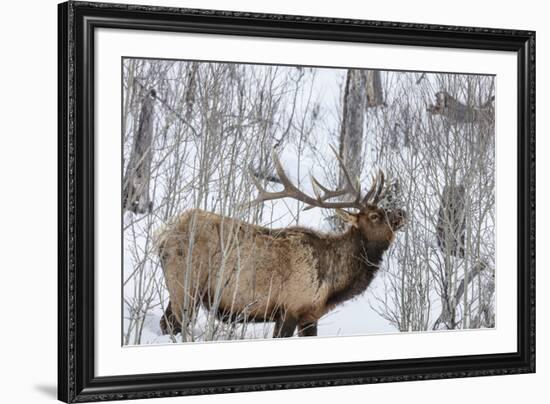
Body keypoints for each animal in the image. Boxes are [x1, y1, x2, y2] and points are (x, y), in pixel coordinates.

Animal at [157, 148, 408, 338]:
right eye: (375, 216)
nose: (402, 213)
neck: (332, 284)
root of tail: (162, 236)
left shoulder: (309, 315)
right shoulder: (291, 307)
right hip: (184, 285)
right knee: (172, 325)